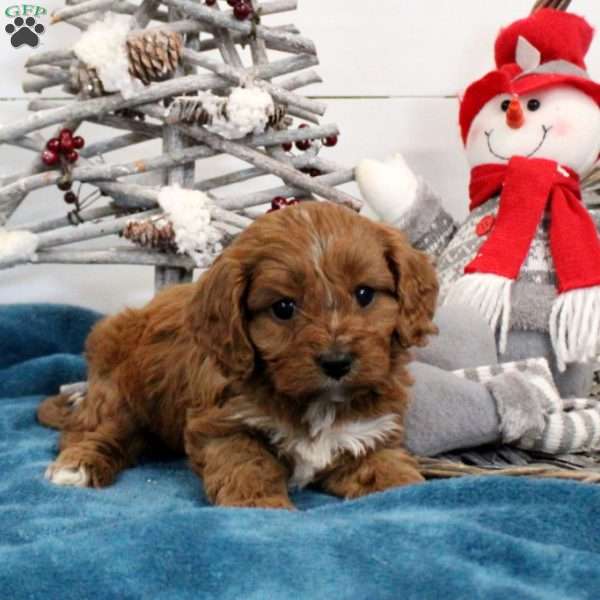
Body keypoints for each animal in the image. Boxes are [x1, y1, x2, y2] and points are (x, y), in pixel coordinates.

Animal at [39, 200, 438, 506]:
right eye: (283, 308)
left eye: (365, 294)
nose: (337, 362)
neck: (317, 402)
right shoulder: (224, 425)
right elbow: (248, 468)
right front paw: (262, 507)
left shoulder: (369, 436)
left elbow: (393, 474)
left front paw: (410, 493)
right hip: (119, 387)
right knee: (96, 431)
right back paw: (78, 466)